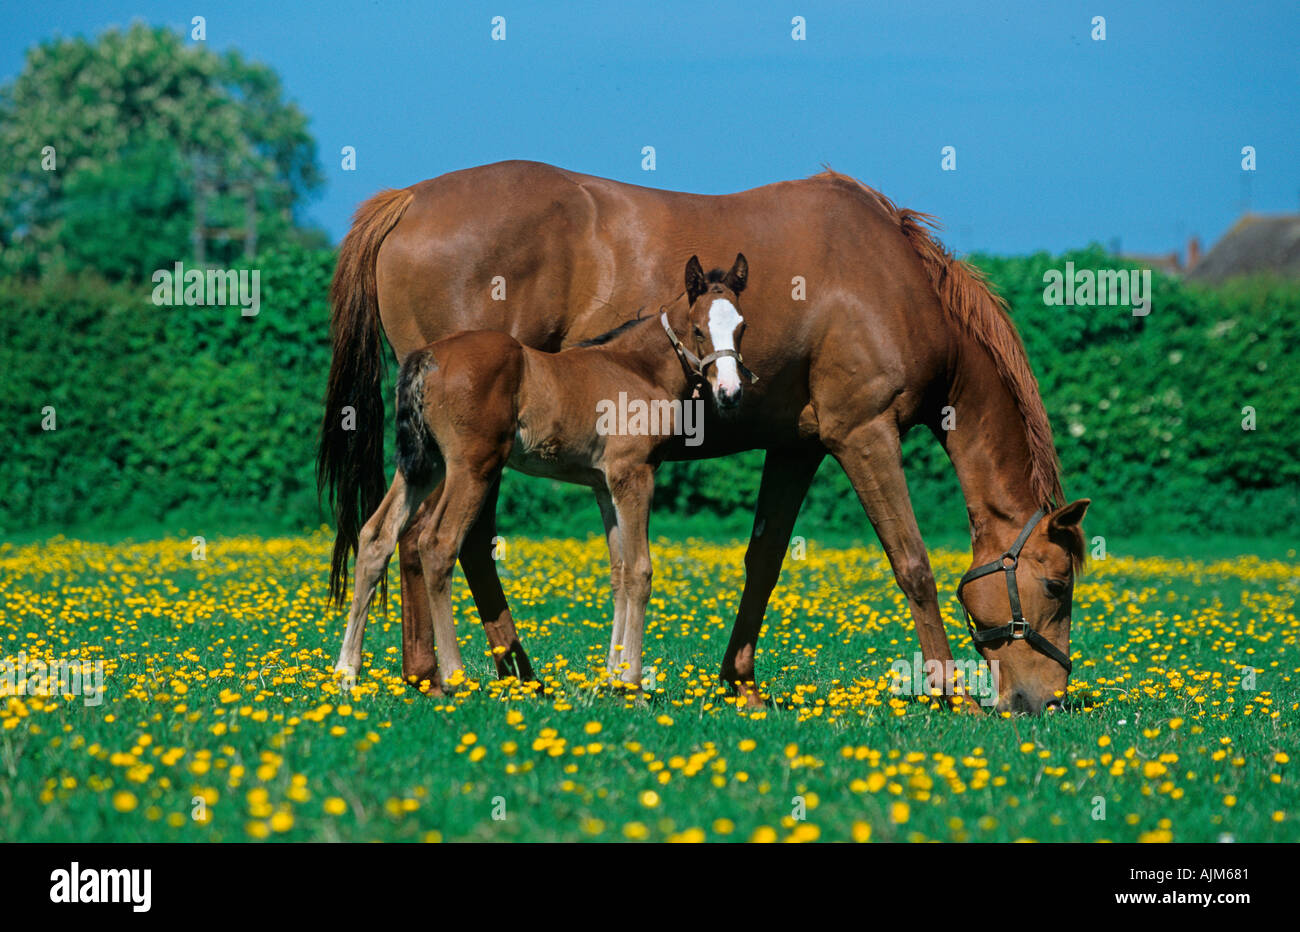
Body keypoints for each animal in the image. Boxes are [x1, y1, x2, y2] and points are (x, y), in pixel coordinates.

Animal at [333, 254, 754, 689]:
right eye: (698, 329)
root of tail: (427, 356)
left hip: (423, 464)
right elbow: (640, 572)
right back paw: (454, 676)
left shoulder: (604, 484)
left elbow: (619, 573)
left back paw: (346, 671)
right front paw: (632, 683)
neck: (637, 369)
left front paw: (611, 679)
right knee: (436, 543)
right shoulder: (634, 474)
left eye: (742, 327)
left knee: (376, 537)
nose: (730, 393)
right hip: (471, 466)